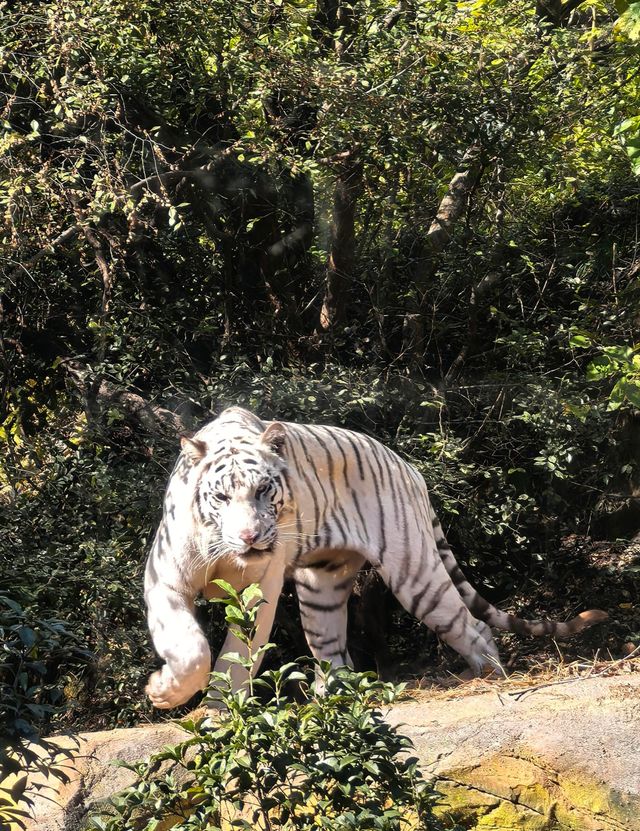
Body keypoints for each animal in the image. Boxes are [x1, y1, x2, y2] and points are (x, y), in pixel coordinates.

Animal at [144, 410, 604, 708]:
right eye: (221, 497)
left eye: (262, 491)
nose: (250, 538)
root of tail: (410, 469)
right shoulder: (165, 576)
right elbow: (190, 651)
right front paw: (167, 690)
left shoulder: (259, 589)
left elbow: (235, 656)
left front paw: (202, 706)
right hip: (321, 585)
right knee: (335, 653)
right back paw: (330, 703)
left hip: (415, 574)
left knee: (470, 625)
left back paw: (489, 679)